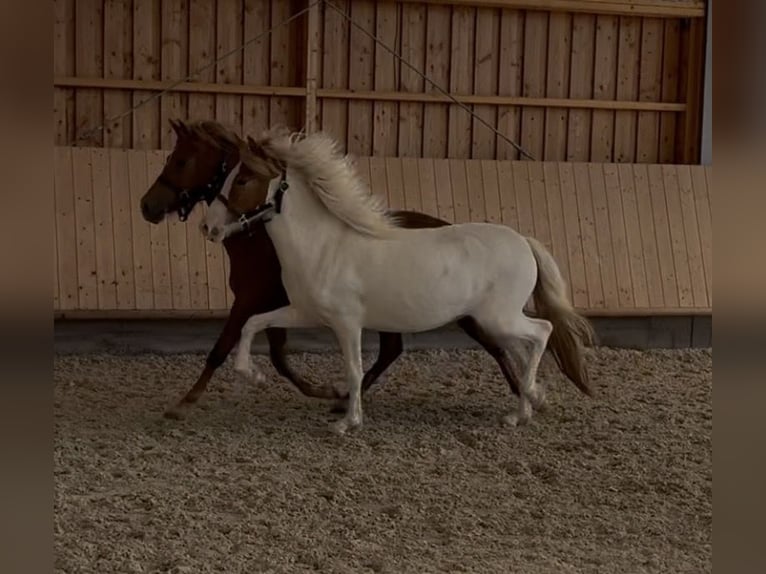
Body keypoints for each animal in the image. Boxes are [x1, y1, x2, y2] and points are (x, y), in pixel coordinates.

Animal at [140, 119, 525, 418]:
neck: (261, 238)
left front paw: (183, 404)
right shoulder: (277, 304)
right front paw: (325, 391)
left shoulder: (250, 300)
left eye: (181, 161)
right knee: (393, 350)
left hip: (466, 314)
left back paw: (523, 395)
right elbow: (278, 355)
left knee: (495, 345)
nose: (147, 206)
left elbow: (224, 349)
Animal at [202, 129, 595, 434]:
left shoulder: (347, 322)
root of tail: (524, 241)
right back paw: (521, 412)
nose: (208, 228)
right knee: (523, 349)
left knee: (542, 332)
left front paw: (348, 423)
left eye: (242, 179)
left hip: (498, 318)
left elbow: (354, 369)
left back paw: (529, 400)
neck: (324, 246)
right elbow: (253, 324)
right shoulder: (305, 312)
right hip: (497, 321)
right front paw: (253, 375)